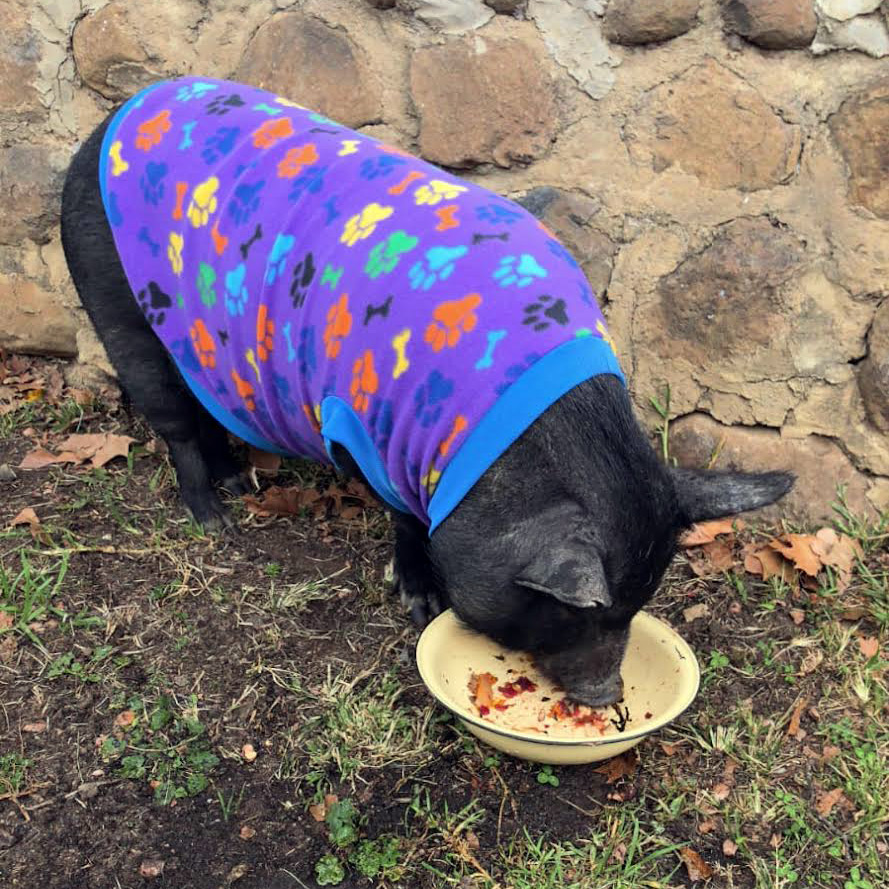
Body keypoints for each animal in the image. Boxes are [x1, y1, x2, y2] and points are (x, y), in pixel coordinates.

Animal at [61, 77, 793, 707]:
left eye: (640, 604)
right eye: (571, 611)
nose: (606, 696)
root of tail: (106, 124)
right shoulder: (368, 434)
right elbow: (406, 521)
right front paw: (420, 606)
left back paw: (241, 485)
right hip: (119, 309)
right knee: (175, 421)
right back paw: (215, 520)